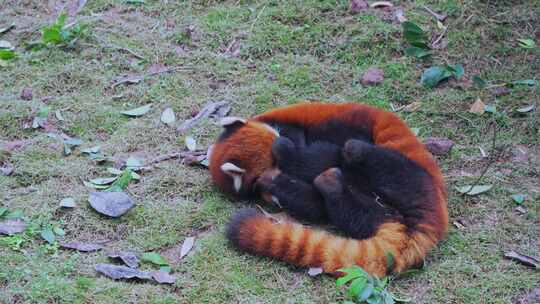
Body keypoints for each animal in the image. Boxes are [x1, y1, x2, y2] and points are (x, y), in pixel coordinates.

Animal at [207, 102, 448, 278]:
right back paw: (328, 183)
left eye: (276, 133)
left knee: (351, 148)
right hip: (380, 204)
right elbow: (312, 204)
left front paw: (284, 155)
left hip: (406, 174)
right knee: (351, 209)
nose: (280, 140)